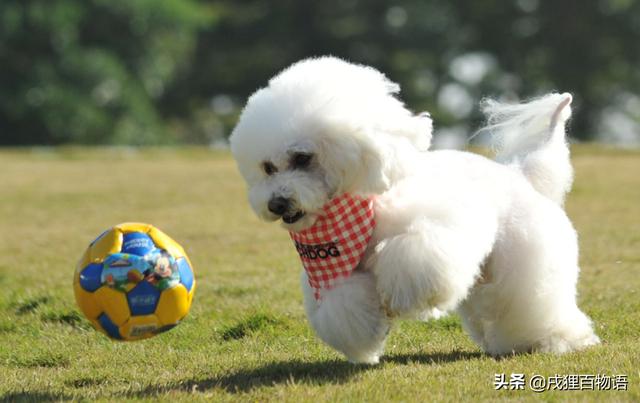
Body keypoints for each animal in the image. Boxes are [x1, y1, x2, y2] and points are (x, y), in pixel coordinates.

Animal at [229, 57, 600, 366]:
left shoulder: (431, 232)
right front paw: (371, 331)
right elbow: (344, 304)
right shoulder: (334, 272)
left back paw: (555, 339)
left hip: (525, 260)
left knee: (531, 302)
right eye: (267, 167)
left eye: (302, 158)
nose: (276, 204)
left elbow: (413, 256)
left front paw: (400, 298)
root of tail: (522, 175)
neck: (362, 209)